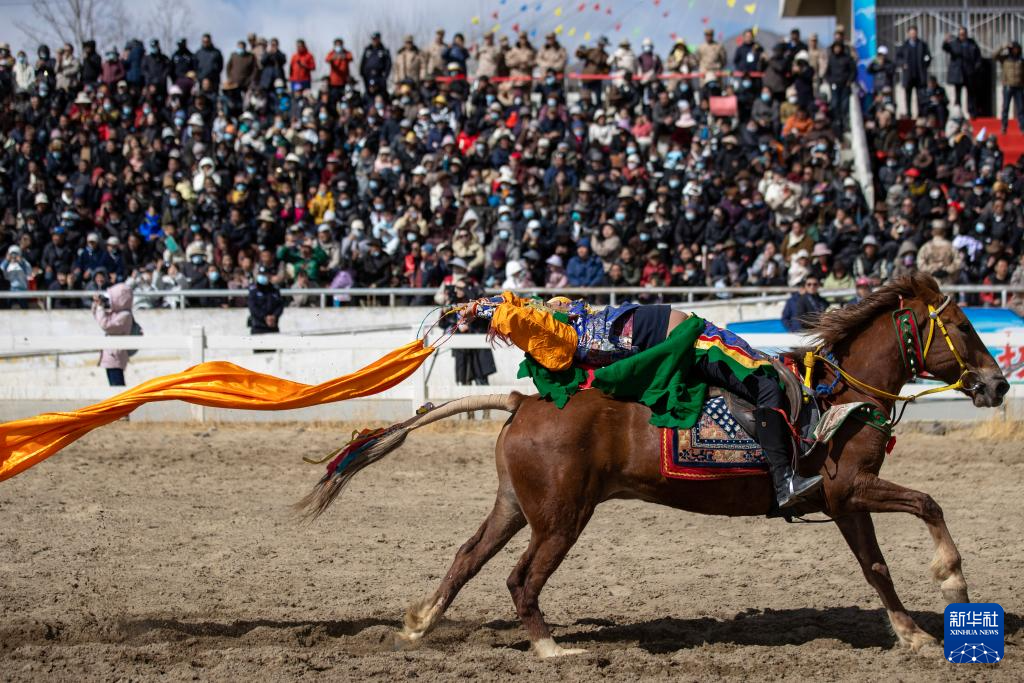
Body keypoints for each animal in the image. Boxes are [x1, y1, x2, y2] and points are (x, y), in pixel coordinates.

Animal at [301, 272, 1007, 655]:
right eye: (963, 329)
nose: (997, 385)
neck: (838, 399)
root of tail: (524, 399)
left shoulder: (843, 504)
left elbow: (877, 568)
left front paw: (912, 633)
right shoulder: (851, 489)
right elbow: (929, 505)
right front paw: (951, 580)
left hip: (516, 507)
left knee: (468, 559)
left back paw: (420, 624)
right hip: (561, 518)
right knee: (521, 580)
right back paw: (550, 647)